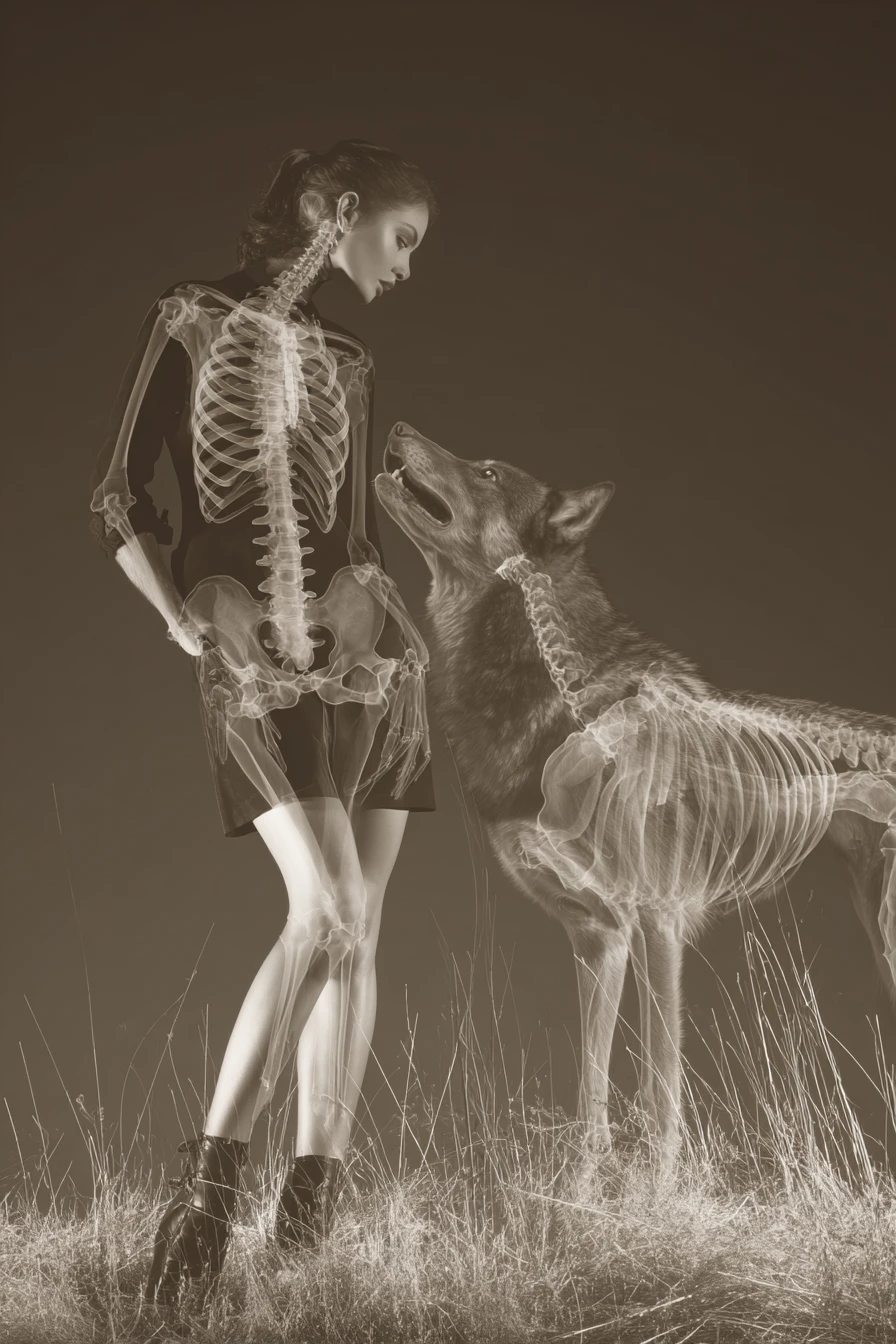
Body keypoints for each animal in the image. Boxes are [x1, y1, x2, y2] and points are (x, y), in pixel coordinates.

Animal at [374, 421, 896, 1164]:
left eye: (488, 472)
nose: (398, 429)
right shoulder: (597, 934)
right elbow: (591, 1109)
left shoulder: (658, 922)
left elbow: (660, 1099)